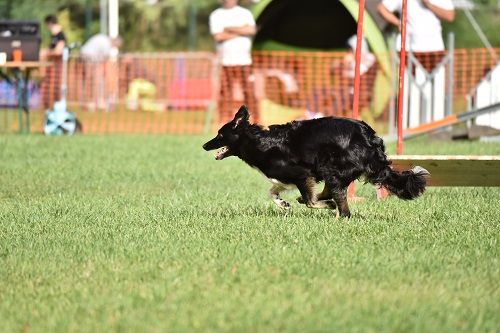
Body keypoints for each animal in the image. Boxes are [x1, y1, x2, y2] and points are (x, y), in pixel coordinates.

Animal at [201, 105, 428, 217]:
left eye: (220, 135)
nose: (204, 145)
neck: (258, 142)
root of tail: (369, 137)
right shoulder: (285, 178)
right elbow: (272, 191)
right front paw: (284, 204)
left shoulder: (302, 174)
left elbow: (311, 201)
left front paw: (323, 205)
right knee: (331, 191)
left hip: (331, 167)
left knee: (341, 203)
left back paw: (337, 212)